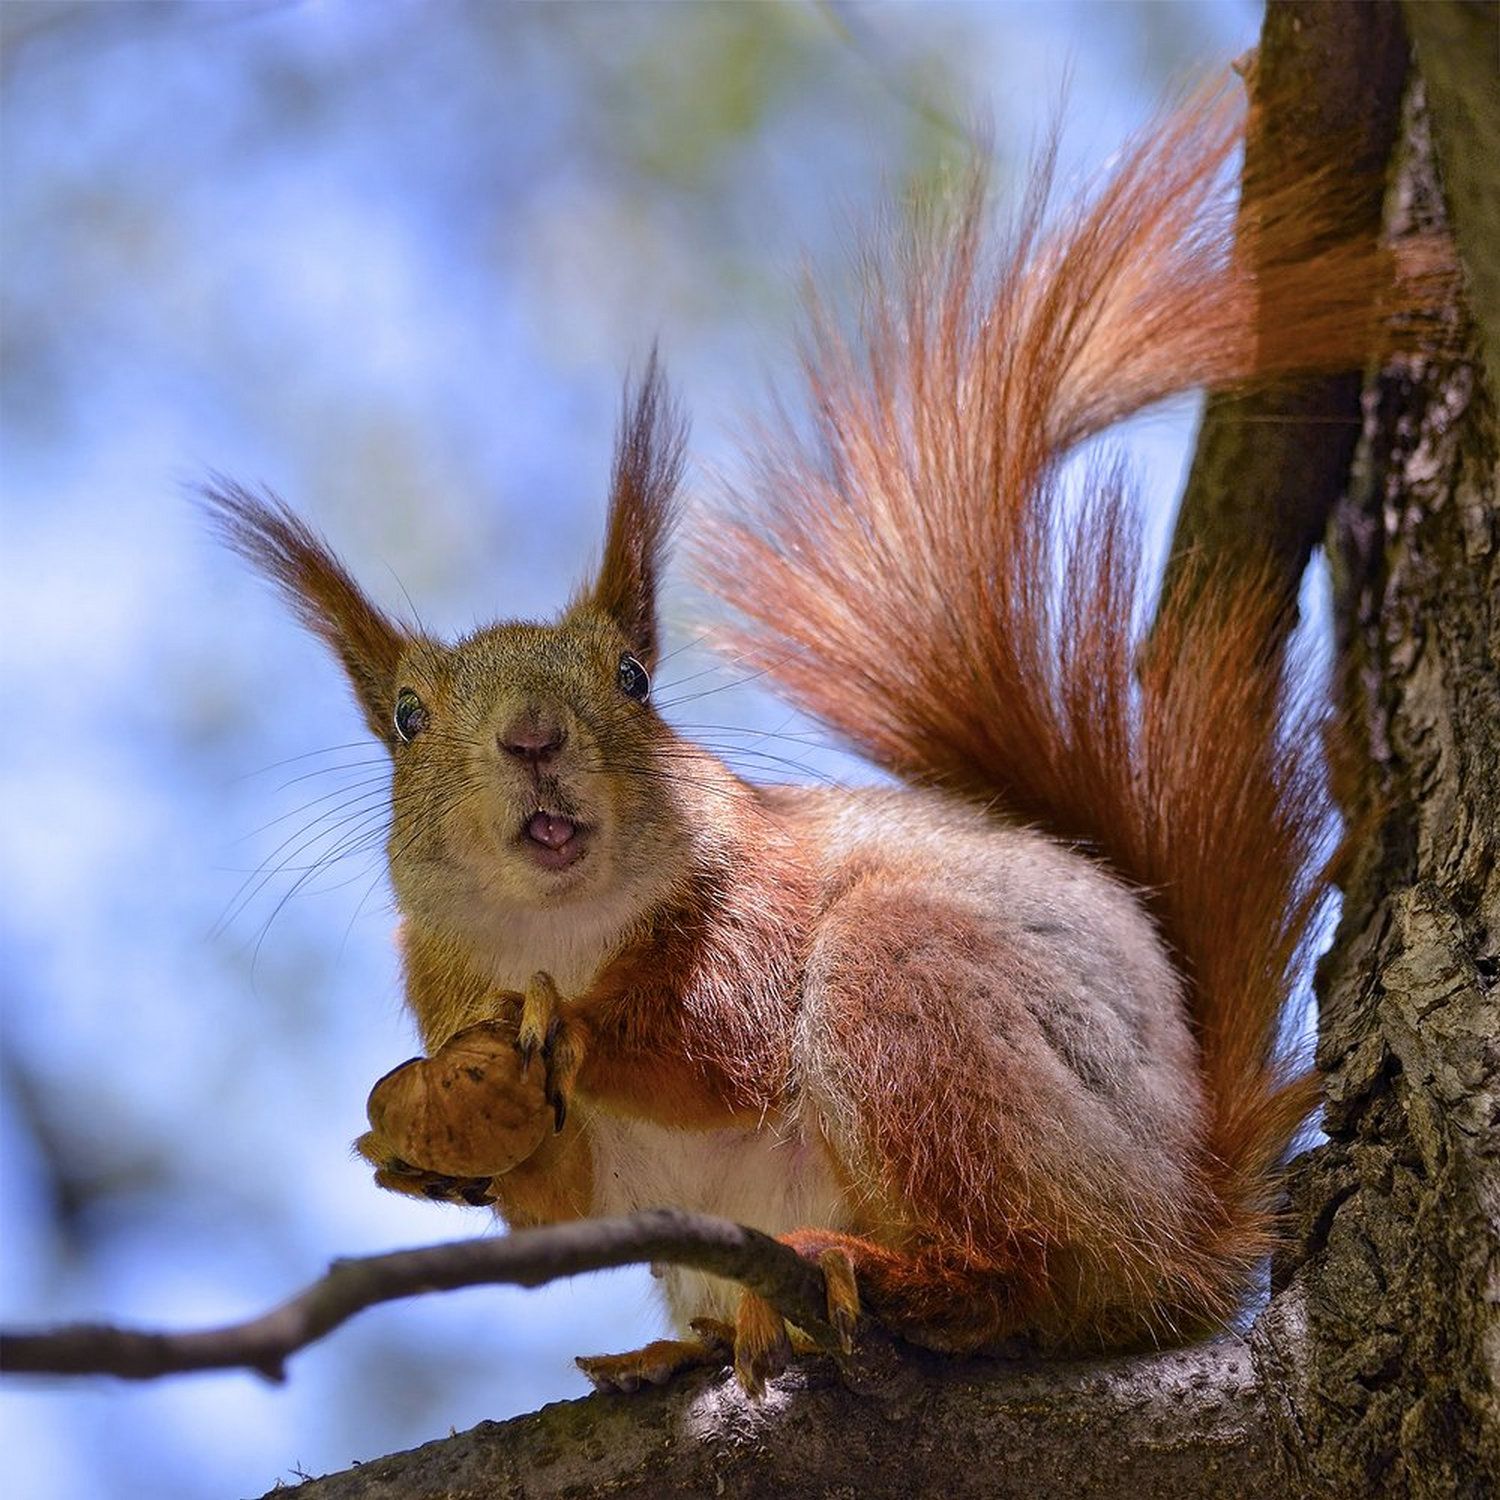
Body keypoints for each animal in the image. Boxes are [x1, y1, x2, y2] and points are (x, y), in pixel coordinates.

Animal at [205, 79, 1446, 1392]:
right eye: (404, 720)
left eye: (634, 678)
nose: (534, 737)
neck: (562, 932)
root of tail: (1184, 1232)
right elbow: (560, 1202)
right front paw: (434, 1149)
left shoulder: (758, 903)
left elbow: (722, 1053)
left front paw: (572, 1031)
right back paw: (689, 1344)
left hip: (915, 1001)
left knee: (1021, 1269)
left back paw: (883, 1274)